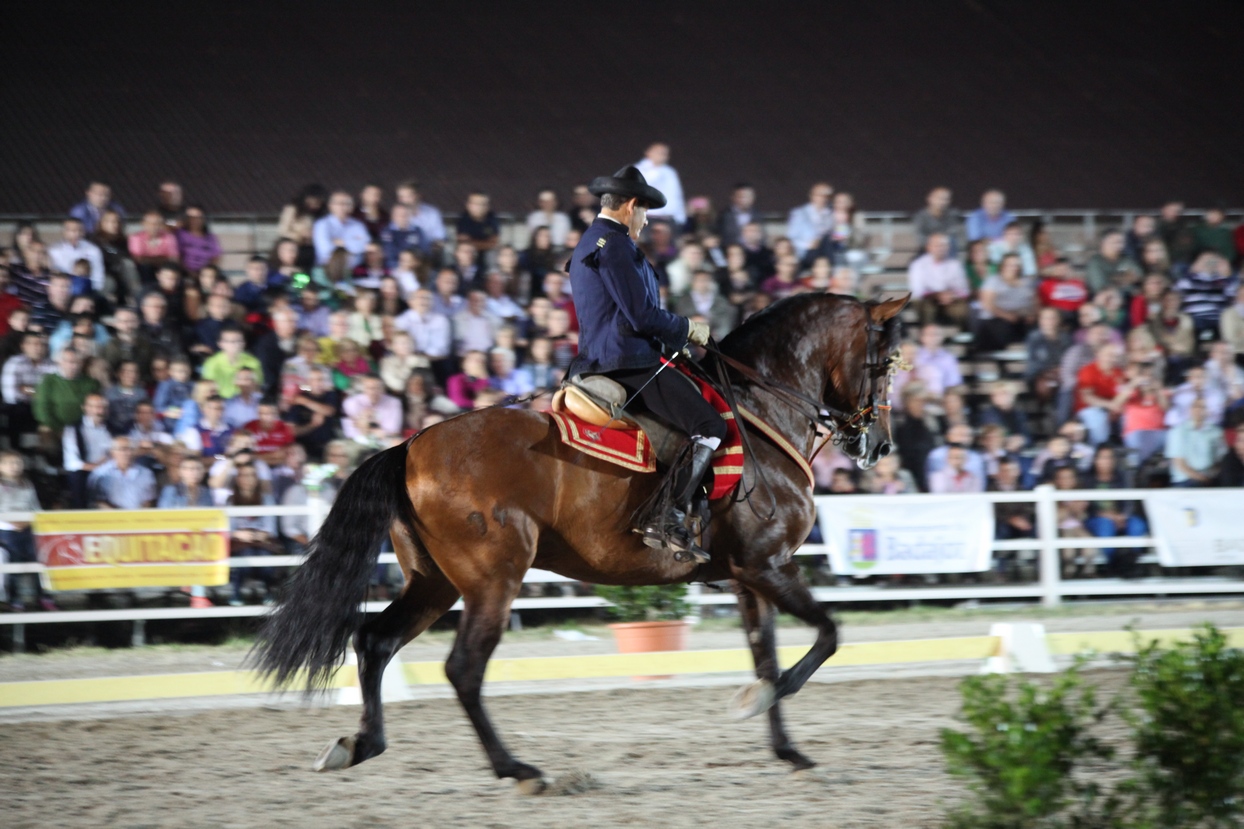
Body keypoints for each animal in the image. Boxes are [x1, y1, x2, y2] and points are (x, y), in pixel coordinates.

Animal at [252, 290, 910, 786]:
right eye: (884, 362)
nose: (879, 446)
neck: (760, 410)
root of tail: (411, 444)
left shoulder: (748, 574)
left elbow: (766, 655)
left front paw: (786, 749)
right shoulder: (769, 565)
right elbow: (827, 635)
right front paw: (761, 702)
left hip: (434, 582)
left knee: (375, 641)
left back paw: (360, 745)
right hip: (493, 579)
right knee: (463, 668)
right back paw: (515, 769)